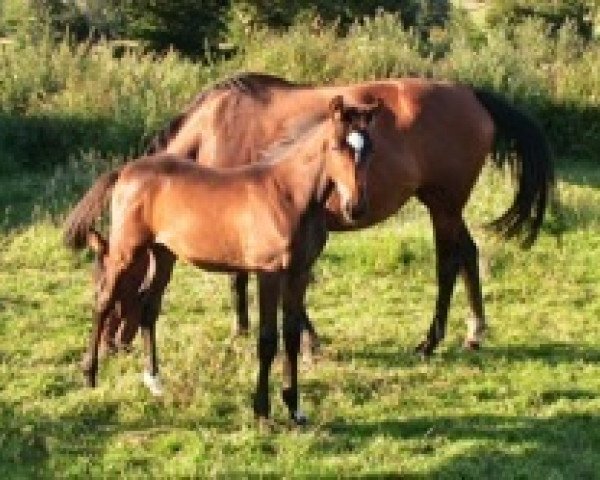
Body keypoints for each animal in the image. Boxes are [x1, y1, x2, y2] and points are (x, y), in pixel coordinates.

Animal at [102, 71, 552, 356]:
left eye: (114, 281)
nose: (110, 343)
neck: (212, 129)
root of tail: (471, 94)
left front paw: (301, 339)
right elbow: (241, 278)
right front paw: (246, 330)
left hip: (442, 204)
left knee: (448, 262)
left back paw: (431, 341)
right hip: (448, 206)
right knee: (469, 254)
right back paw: (474, 332)